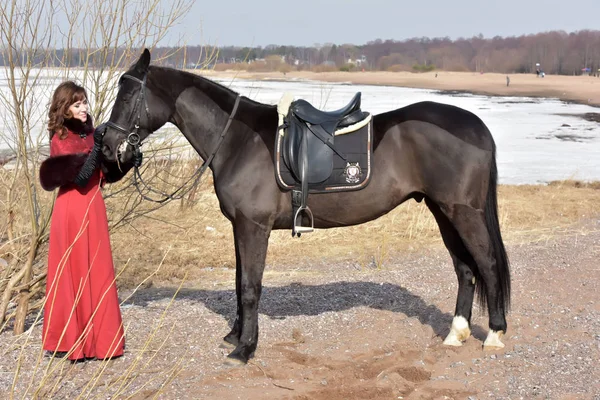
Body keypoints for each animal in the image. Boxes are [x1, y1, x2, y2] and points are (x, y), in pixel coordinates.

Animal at [101, 49, 508, 362]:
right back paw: (456, 333)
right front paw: (236, 335)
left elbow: (250, 286)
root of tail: (477, 127)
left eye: (128, 96)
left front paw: (245, 349)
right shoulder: (240, 226)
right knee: (465, 269)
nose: (107, 146)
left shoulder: (254, 226)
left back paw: (494, 334)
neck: (237, 139)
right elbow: (239, 281)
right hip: (443, 211)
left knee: (486, 264)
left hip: (463, 212)